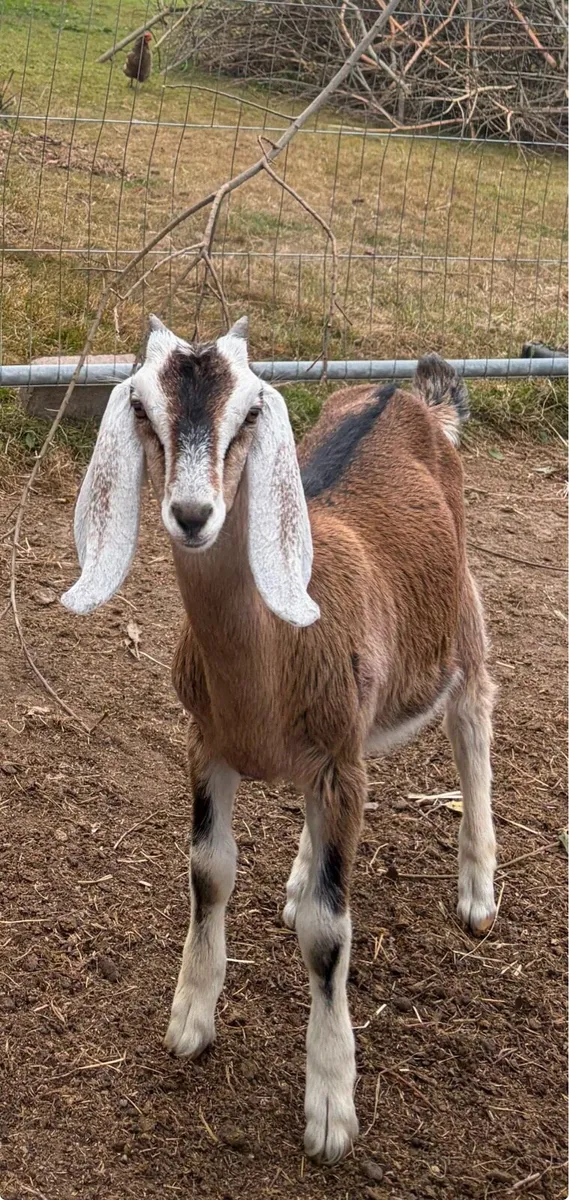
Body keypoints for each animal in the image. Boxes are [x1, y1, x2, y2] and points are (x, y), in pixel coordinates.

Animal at [61, 317, 497, 1165]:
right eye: (143, 409)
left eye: (250, 414)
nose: (193, 513)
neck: (266, 666)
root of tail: (407, 393)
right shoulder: (207, 743)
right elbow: (208, 872)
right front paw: (190, 1017)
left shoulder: (337, 760)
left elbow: (331, 933)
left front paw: (329, 1104)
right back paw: (299, 877)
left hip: (457, 617)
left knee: (473, 723)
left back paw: (476, 890)